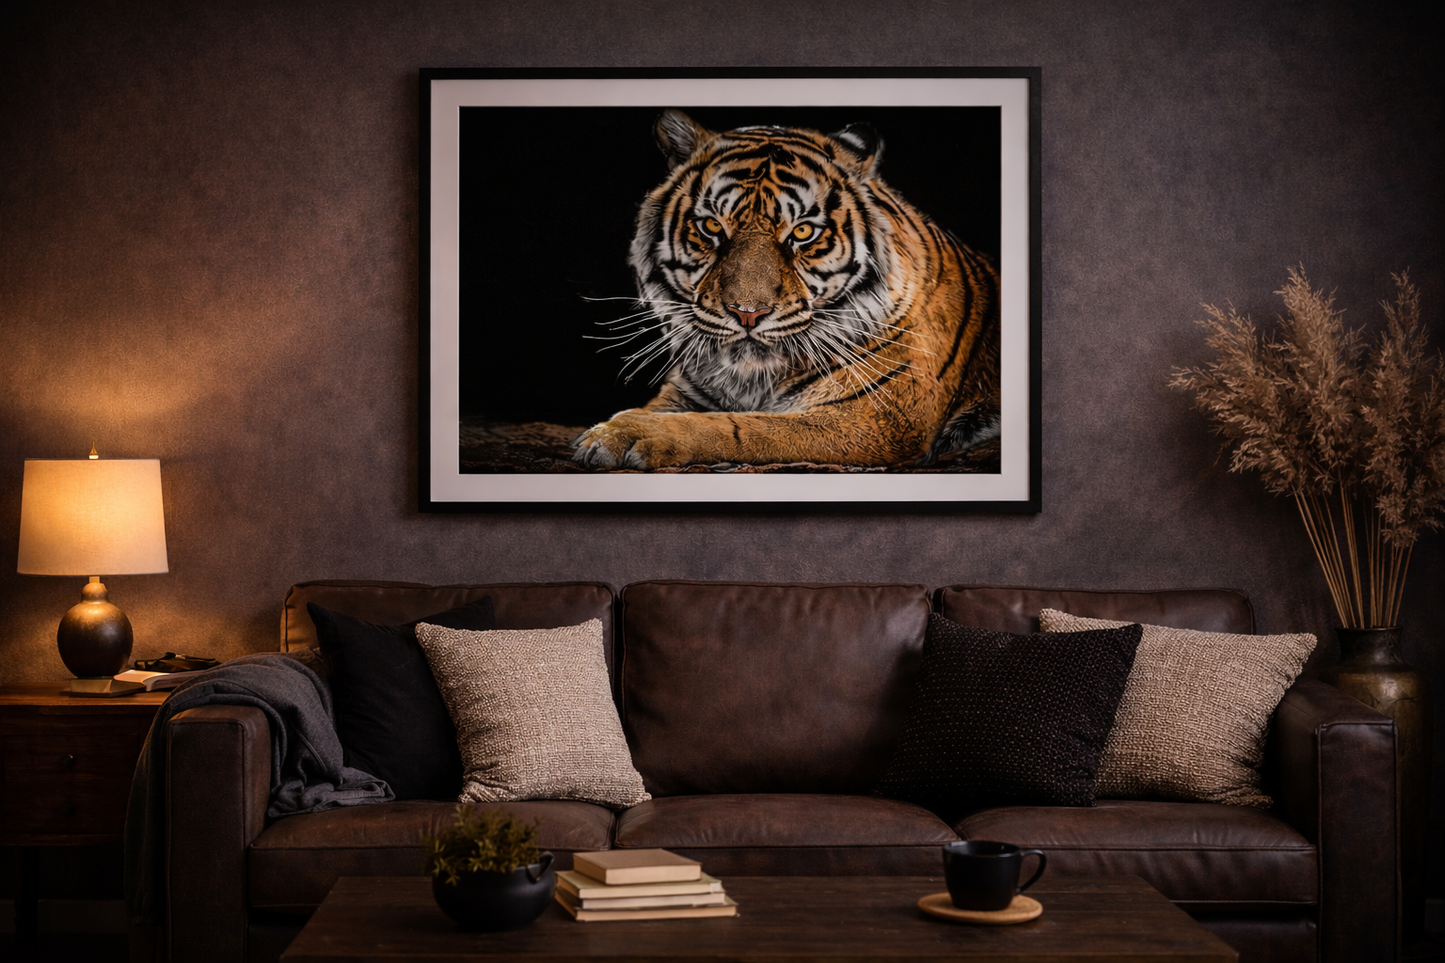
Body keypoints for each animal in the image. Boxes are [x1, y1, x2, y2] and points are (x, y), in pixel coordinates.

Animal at [572, 109, 1000, 470]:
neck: (750, 378)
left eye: (803, 231)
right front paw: (613, 429)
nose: (747, 313)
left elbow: (740, 427)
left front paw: (626, 435)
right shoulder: (684, 392)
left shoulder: (877, 417)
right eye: (711, 227)